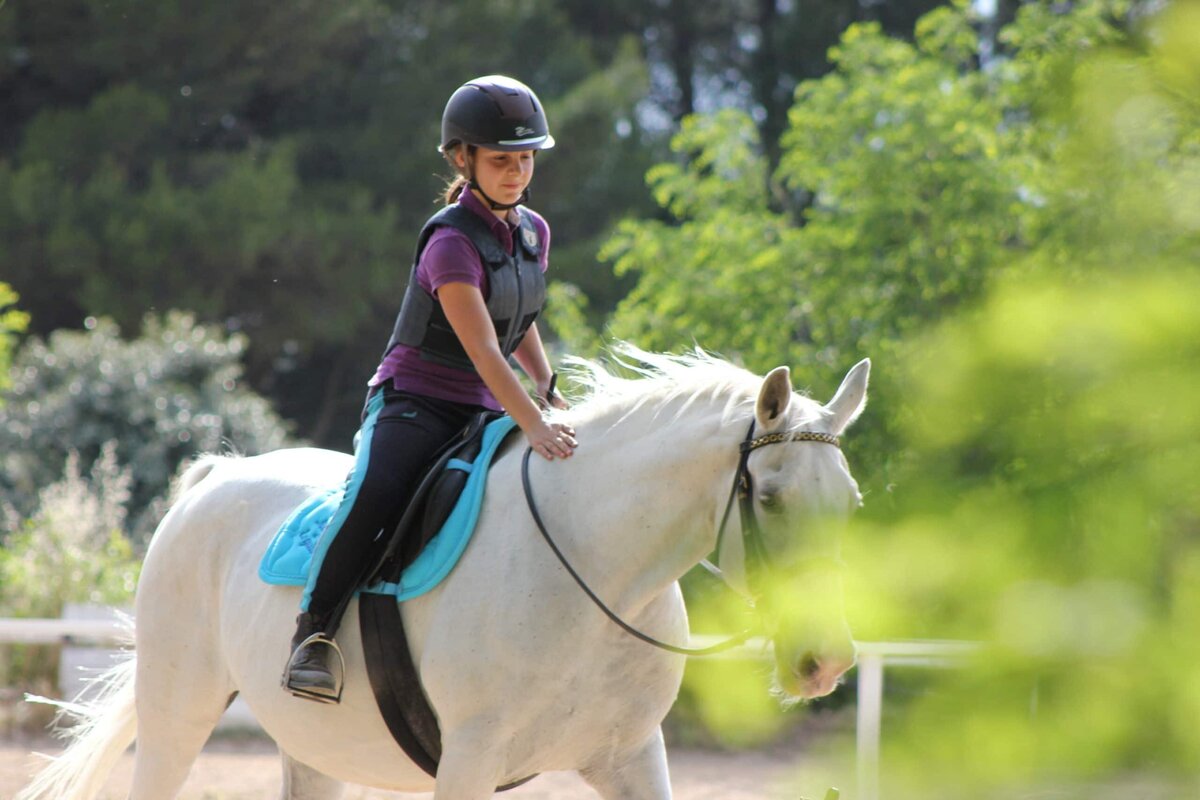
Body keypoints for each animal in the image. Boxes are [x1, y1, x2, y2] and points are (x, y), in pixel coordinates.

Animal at [23, 350, 868, 800]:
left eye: (850, 504)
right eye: (770, 497)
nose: (825, 662)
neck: (595, 566)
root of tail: (216, 478)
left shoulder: (631, 757)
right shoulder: (468, 764)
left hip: (308, 748)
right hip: (177, 714)